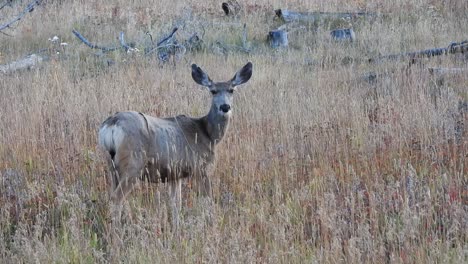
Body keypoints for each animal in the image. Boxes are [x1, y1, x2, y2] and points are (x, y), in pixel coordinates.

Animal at [98, 62, 252, 227]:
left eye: (231, 90)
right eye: (213, 91)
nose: (225, 107)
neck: (207, 134)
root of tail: (112, 123)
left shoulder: (175, 174)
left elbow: (175, 204)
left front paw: (177, 227)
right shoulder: (200, 167)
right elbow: (206, 200)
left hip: (112, 166)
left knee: (112, 195)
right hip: (133, 164)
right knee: (117, 198)